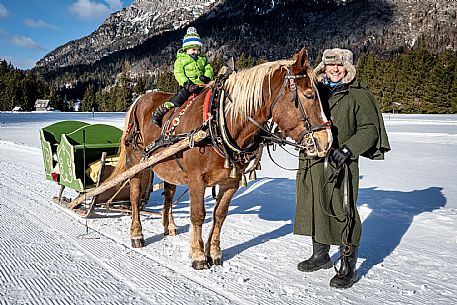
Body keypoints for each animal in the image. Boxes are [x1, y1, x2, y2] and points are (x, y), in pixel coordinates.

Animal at [110, 47, 332, 268]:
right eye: (309, 95)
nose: (326, 142)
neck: (218, 122)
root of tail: (140, 100)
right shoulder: (197, 180)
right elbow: (198, 215)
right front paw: (198, 255)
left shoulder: (230, 182)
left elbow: (220, 215)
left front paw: (214, 252)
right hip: (137, 162)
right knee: (135, 195)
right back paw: (137, 234)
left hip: (167, 163)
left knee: (169, 194)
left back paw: (169, 225)